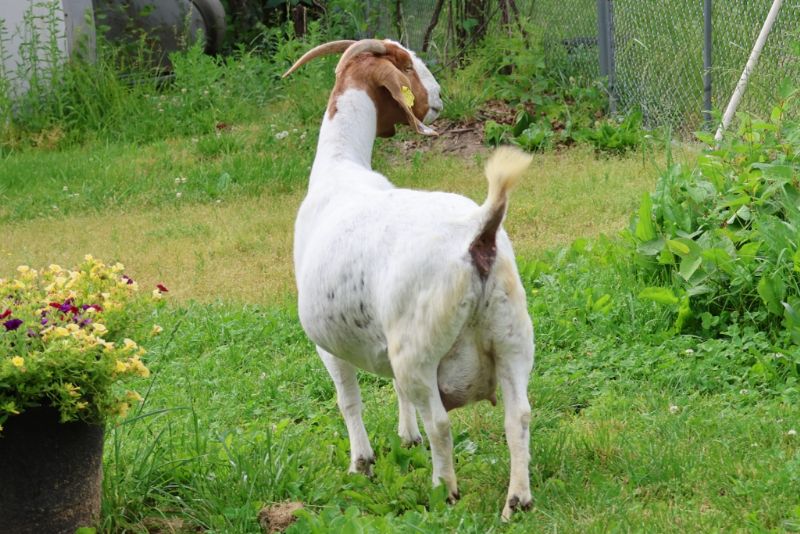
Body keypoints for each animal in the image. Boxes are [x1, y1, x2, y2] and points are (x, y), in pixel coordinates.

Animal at [284, 39, 534, 519]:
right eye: (407, 65)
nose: (438, 99)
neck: (339, 169)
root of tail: (479, 229)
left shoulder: (328, 347)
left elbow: (348, 399)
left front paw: (361, 463)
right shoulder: (383, 337)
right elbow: (396, 394)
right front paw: (406, 437)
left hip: (418, 349)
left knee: (441, 422)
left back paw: (445, 491)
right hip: (512, 337)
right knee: (519, 416)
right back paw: (517, 500)